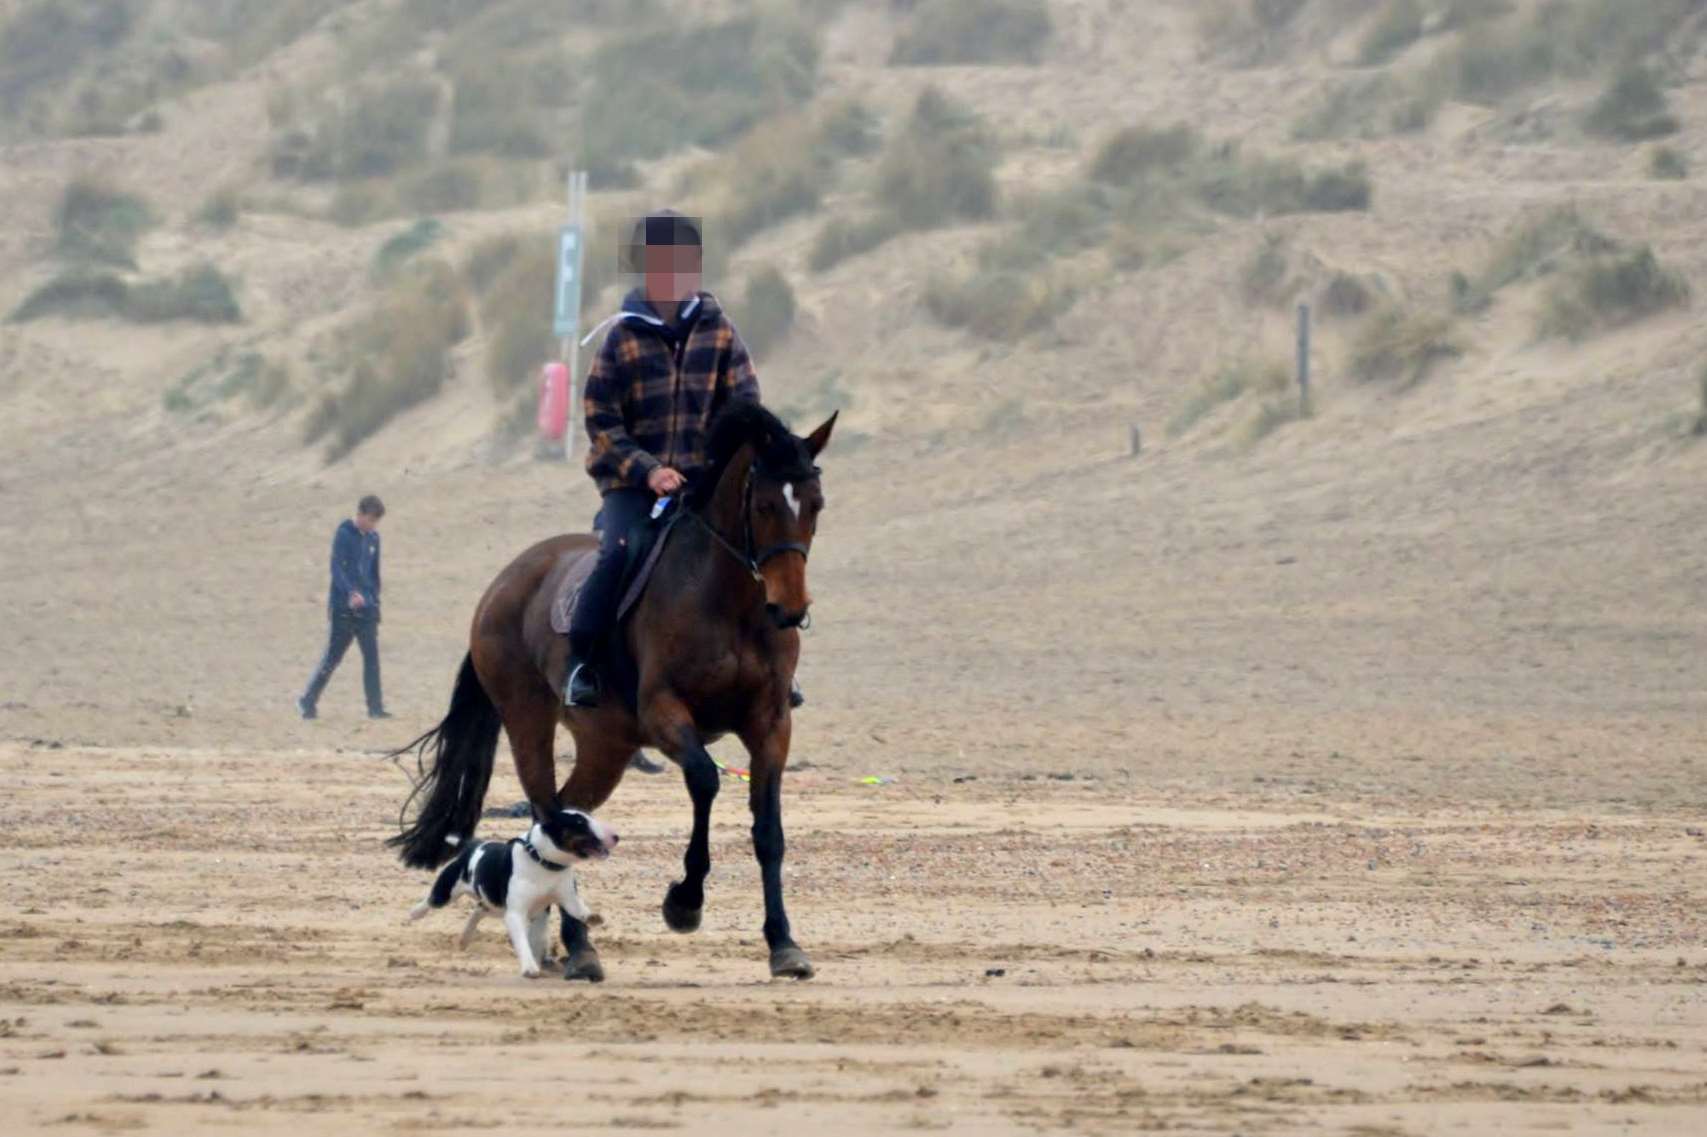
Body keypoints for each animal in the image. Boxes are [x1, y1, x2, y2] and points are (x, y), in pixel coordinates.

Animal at [406, 805, 621, 976]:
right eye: (579, 822)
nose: (616, 836)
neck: (543, 862)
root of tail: (473, 846)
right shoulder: (515, 914)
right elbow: (522, 941)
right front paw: (529, 968)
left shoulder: (565, 897)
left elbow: (577, 910)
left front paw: (592, 917)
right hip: (448, 891)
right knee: (432, 900)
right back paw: (415, 913)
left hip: (493, 903)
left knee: (478, 911)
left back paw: (464, 939)